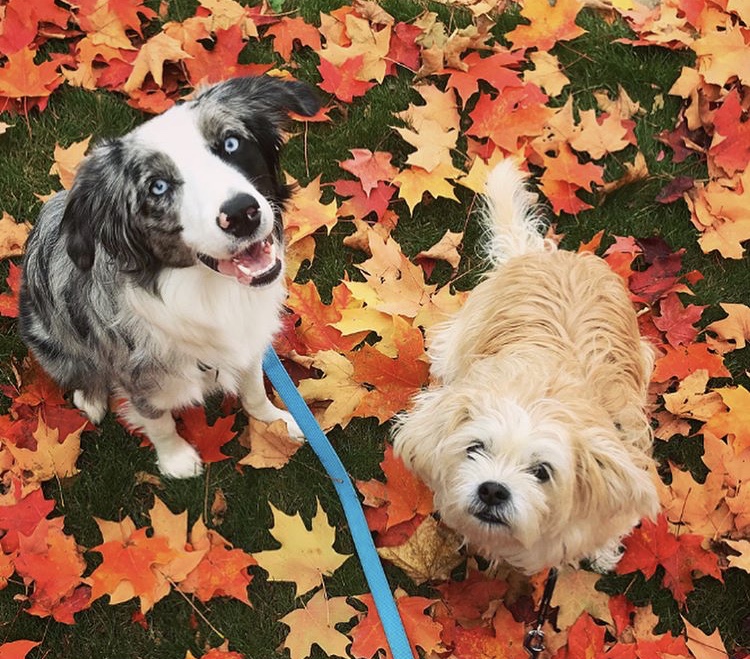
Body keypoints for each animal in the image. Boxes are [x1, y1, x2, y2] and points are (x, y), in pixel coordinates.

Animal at [394, 160, 656, 572]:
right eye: (475, 448)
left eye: (542, 472)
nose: (492, 490)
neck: (543, 390)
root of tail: (539, 252)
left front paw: (602, 548)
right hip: (455, 343)